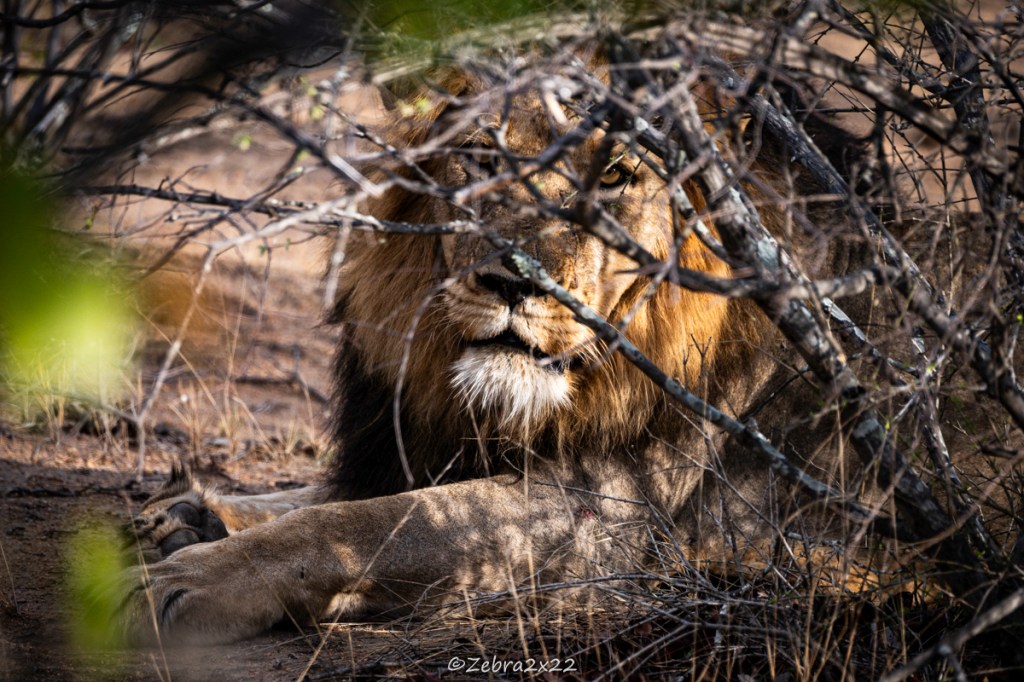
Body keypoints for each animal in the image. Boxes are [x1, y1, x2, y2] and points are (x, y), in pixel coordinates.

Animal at [122, 44, 869, 646]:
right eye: (483, 157)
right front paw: (188, 512)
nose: (514, 280)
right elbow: (326, 496)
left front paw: (192, 575)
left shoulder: (619, 508)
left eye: (616, 174)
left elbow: (379, 522)